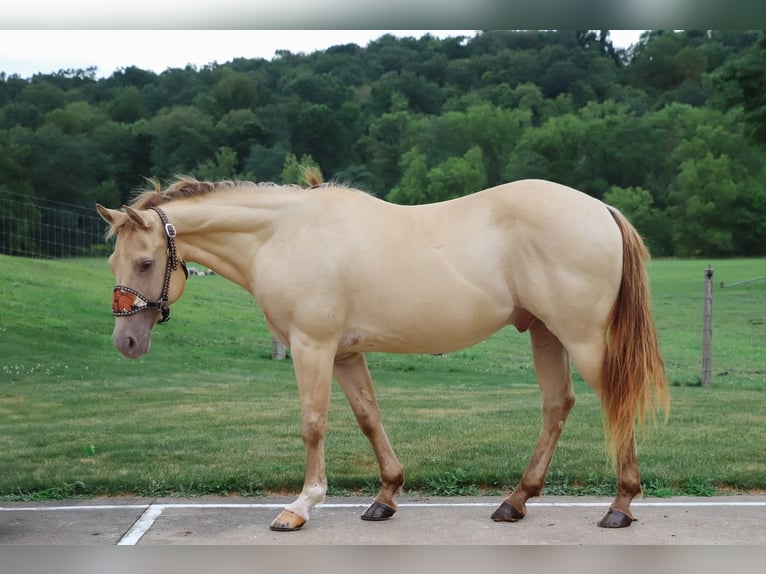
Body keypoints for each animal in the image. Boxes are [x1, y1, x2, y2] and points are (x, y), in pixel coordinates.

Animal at [96, 177, 668, 532]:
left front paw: (301, 506)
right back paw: (515, 501)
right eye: (113, 261)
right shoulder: (345, 355)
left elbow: (313, 422)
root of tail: (600, 209)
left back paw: (620, 505)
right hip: (545, 333)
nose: (126, 343)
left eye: (145, 262)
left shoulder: (312, 346)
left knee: (612, 400)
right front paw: (385, 497)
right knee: (556, 406)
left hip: (580, 336)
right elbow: (369, 417)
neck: (283, 234)